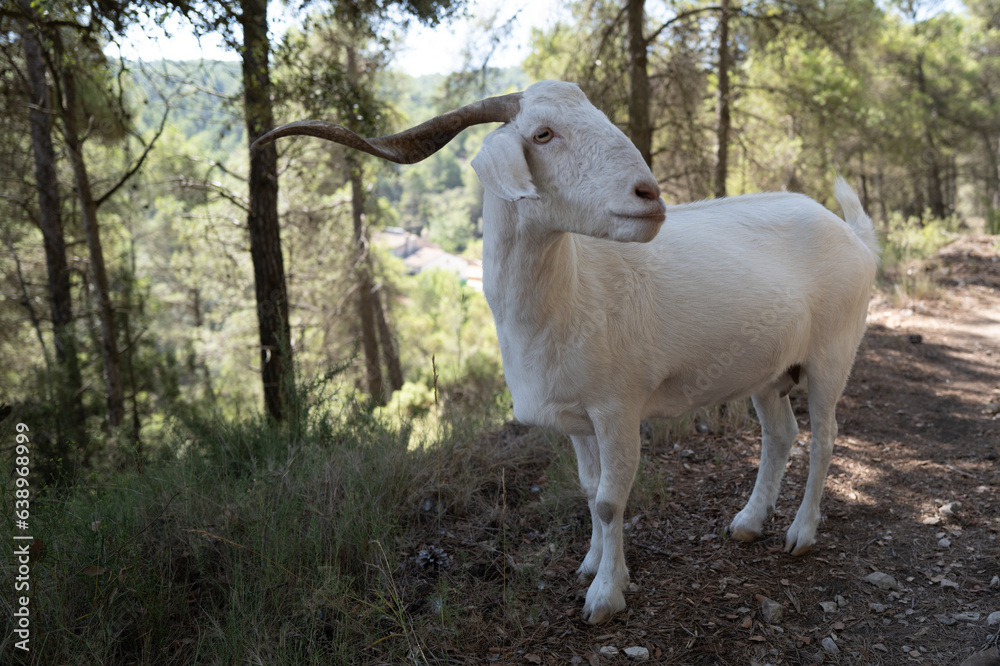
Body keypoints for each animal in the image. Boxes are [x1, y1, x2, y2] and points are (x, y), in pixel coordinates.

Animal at [254, 80, 880, 624]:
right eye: (544, 133)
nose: (649, 197)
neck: (573, 297)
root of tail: (854, 235)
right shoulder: (579, 421)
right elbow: (588, 491)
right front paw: (594, 565)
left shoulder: (619, 409)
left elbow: (609, 498)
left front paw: (605, 597)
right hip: (770, 372)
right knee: (780, 435)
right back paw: (749, 522)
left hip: (832, 355)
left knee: (825, 438)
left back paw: (801, 534)